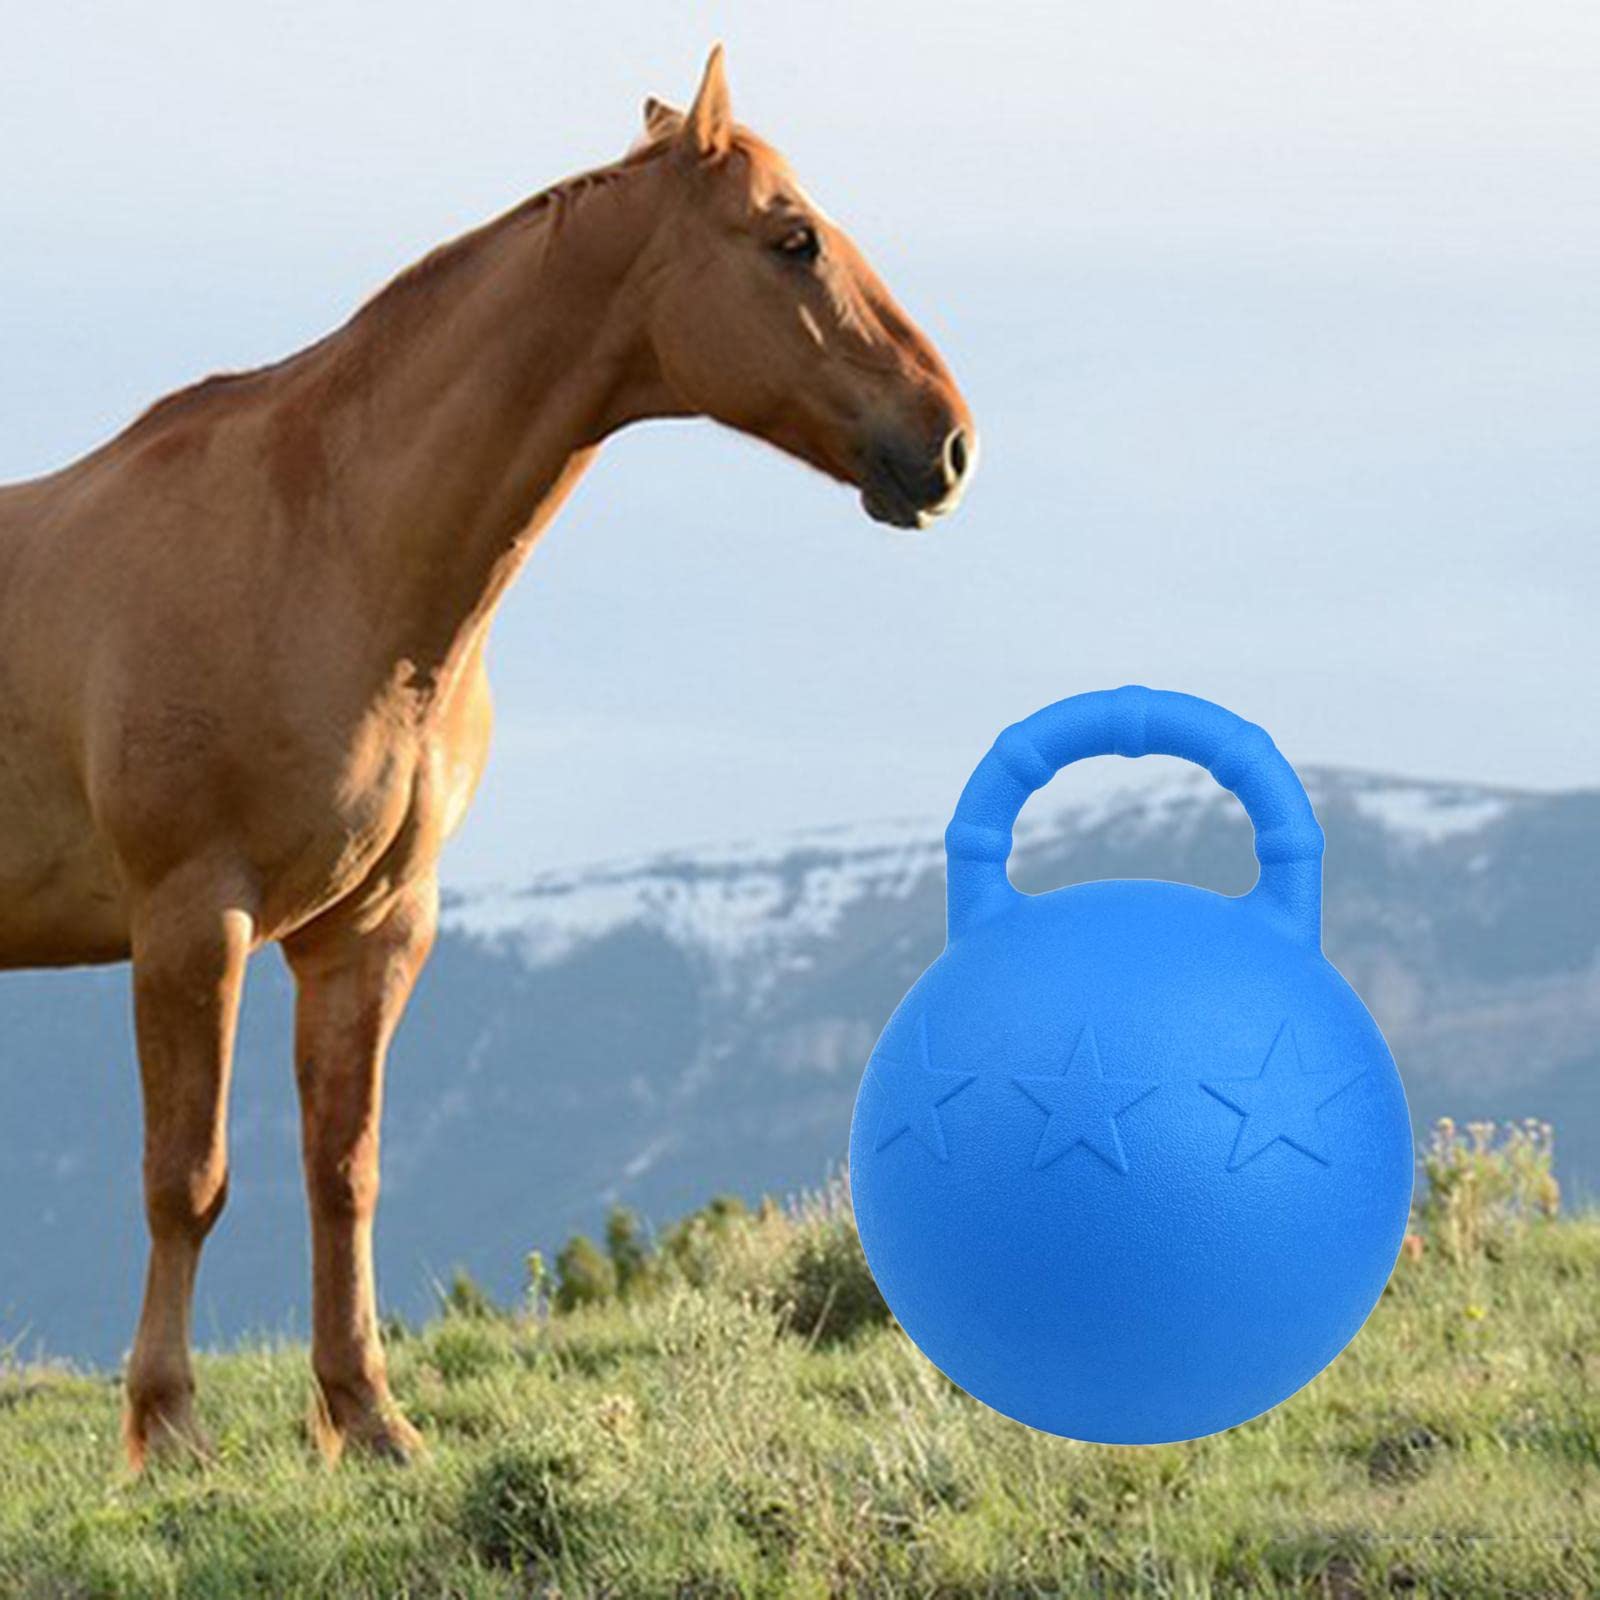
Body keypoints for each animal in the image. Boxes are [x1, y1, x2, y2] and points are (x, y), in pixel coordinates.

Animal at [0, 47, 973, 1468]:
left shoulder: (372, 926)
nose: (947, 442)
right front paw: (168, 1433)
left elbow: (343, 1171)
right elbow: (187, 1177)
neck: (320, 548)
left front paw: (367, 1418)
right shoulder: (192, 918)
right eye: (791, 238)